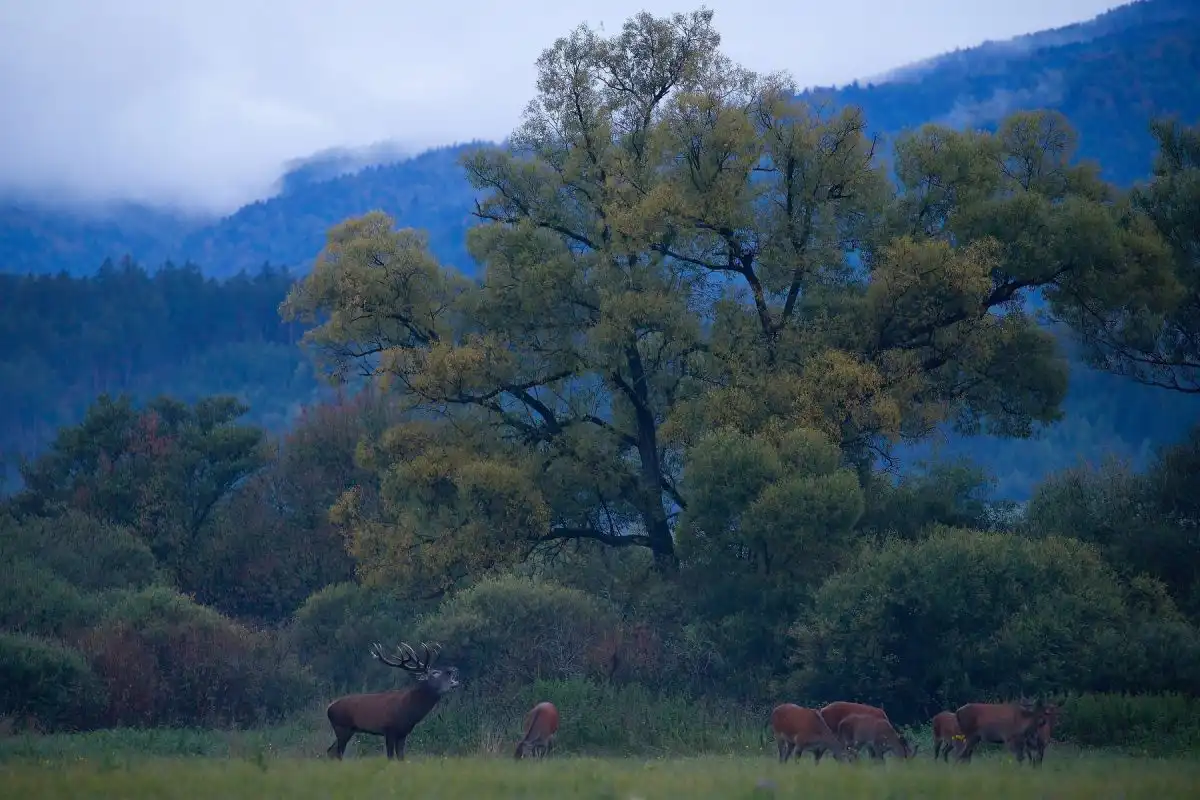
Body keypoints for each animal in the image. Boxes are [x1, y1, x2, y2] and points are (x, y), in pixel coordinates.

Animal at [325, 641, 460, 760]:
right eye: (434, 673)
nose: (452, 669)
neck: (409, 711)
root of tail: (329, 708)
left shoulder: (403, 733)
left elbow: (401, 757)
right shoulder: (389, 729)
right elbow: (390, 756)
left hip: (348, 729)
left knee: (331, 751)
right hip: (342, 727)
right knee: (337, 752)